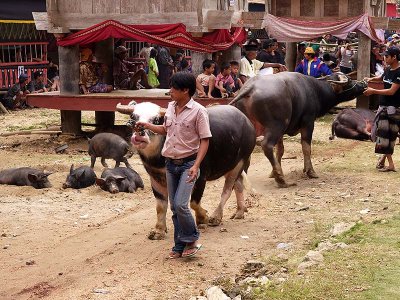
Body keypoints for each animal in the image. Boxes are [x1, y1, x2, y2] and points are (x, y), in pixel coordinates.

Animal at [115, 102, 256, 240]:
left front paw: (203, 219)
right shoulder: (155, 178)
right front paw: (158, 230)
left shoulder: (200, 177)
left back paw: (216, 217)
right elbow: (160, 207)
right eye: (133, 117)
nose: (139, 136)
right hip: (231, 165)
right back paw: (239, 212)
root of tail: (247, 122)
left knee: (227, 190)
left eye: (156, 120)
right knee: (238, 185)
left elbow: (194, 202)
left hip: (241, 162)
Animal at [230, 71, 368, 186]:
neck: (316, 90)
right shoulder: (308, 122)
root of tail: (250, 87)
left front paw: (273, 172)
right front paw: (310, 171)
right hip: (276, 125)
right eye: (350, 80)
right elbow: (306, 147)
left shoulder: (282, 133)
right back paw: (281, 179)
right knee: (267, 145)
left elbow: (280, 150)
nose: (363, 84)